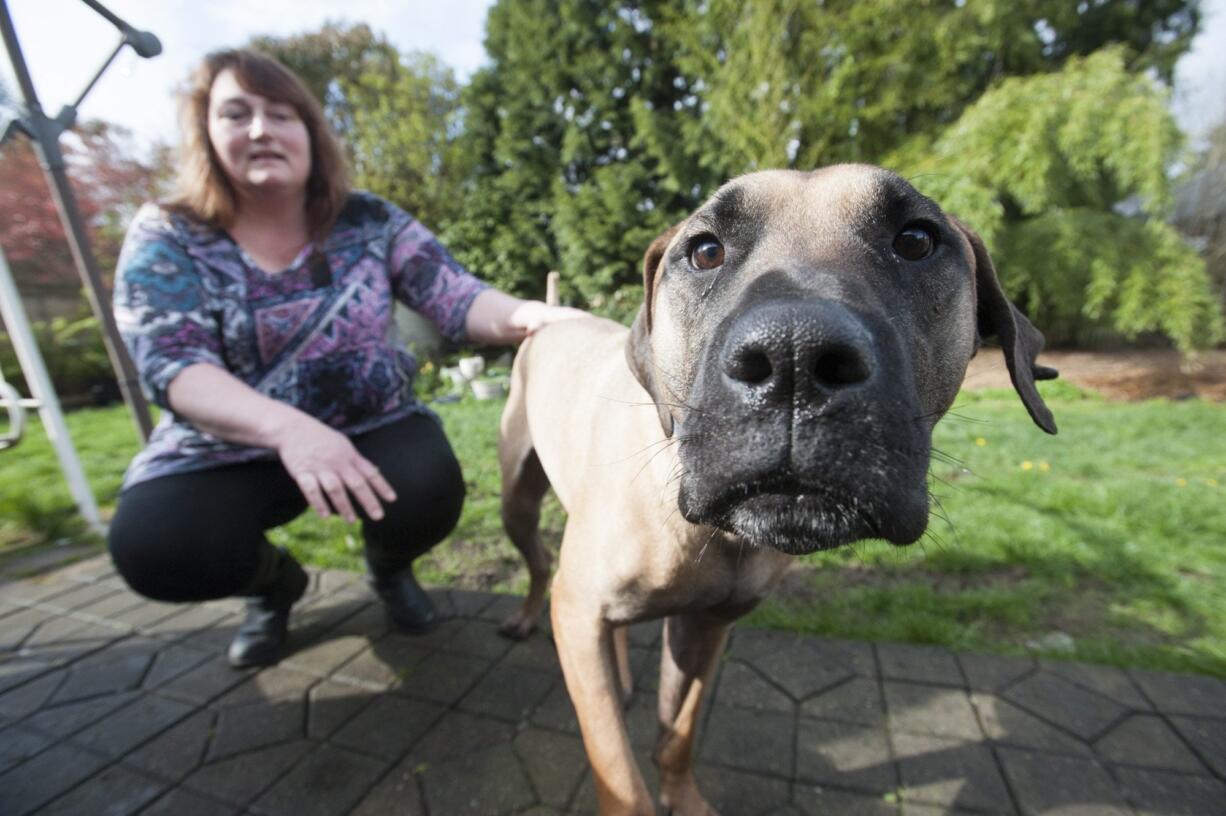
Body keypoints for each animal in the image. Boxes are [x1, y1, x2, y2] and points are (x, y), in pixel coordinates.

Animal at [492, 161, 1059, 808]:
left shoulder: (706, 626)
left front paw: (685, 797)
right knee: (541, 564)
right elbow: (618, 773)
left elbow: (678, 733)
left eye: (917, 240)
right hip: (518, 501)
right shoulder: (581, 612)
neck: (715, 536)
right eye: (705, 250)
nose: (794, 356)